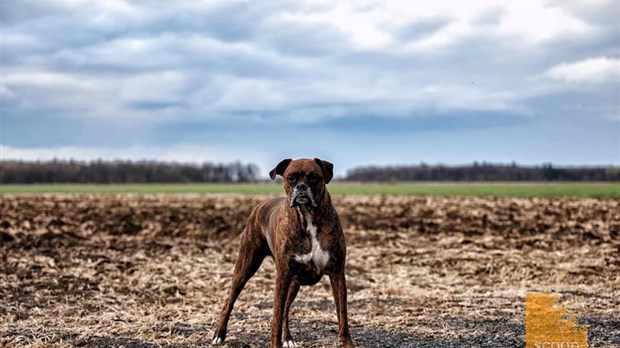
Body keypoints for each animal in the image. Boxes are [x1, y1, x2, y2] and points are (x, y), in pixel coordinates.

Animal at [213, 158, 352, 348]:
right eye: (291, 178)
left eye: (314, 177)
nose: (301, 187)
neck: (307, 216)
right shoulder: (283, 276)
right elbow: (276, 318)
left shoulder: (337, 273)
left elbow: (342, 315)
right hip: (245, 268)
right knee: (230, 300)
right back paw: (219, 334)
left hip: (294, 282)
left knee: (286, 308)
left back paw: (288, 338)